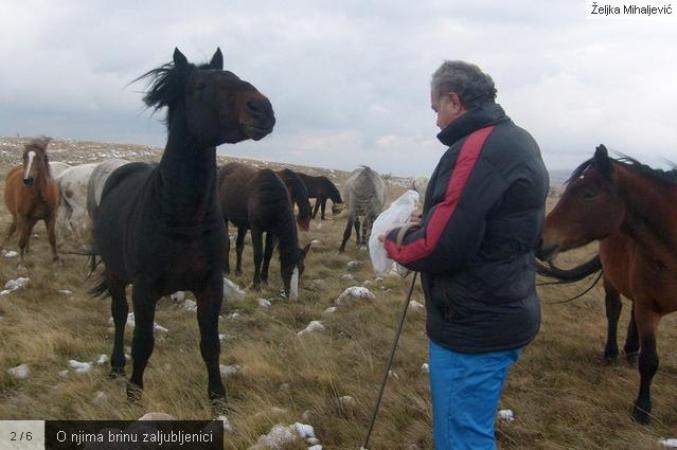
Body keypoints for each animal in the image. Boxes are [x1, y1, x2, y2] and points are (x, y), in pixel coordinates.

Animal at [2, 135, 60, 266]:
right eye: (24, 157)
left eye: (39, 158)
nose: (27, 180)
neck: (39, 195)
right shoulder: (23, 217)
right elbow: (22, 239)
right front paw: (20, 263)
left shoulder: (50, 216)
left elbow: (52, 237)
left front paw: (56, 260)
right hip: (18, 216)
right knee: (19, 231)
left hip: (32, 219)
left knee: (28, 231)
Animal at [90, 47, 274, 410]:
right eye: (200, 86)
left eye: (234, 76)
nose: (262, 109)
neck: (184, 216)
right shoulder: (145, 289)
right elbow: (143, 342)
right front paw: (134, 394)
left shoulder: (210, 286)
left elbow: (211, 344)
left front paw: (218, 398)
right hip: (116, 274)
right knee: (118, 315)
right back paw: (116, 367)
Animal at [218, 163, 308, 298]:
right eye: (288, 269)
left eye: (302, 269)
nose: (292, 296)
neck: (270, 198)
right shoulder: (256, 229)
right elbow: (258, 256)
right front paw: (256, 284)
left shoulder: (272, 232)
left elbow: (268, 255)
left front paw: (264, 279)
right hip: (224, 217)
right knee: (227, 242)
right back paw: (225, 269)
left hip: (242, 224)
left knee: (239, 246)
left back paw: (238, 271)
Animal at [536, 145, 672, 426]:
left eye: (588, 193)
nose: (540, 239)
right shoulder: (648, 306)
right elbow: (649, 361)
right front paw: (642, 409)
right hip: (613, 282)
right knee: (614, 310)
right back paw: (613, 353)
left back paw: (630, 351)